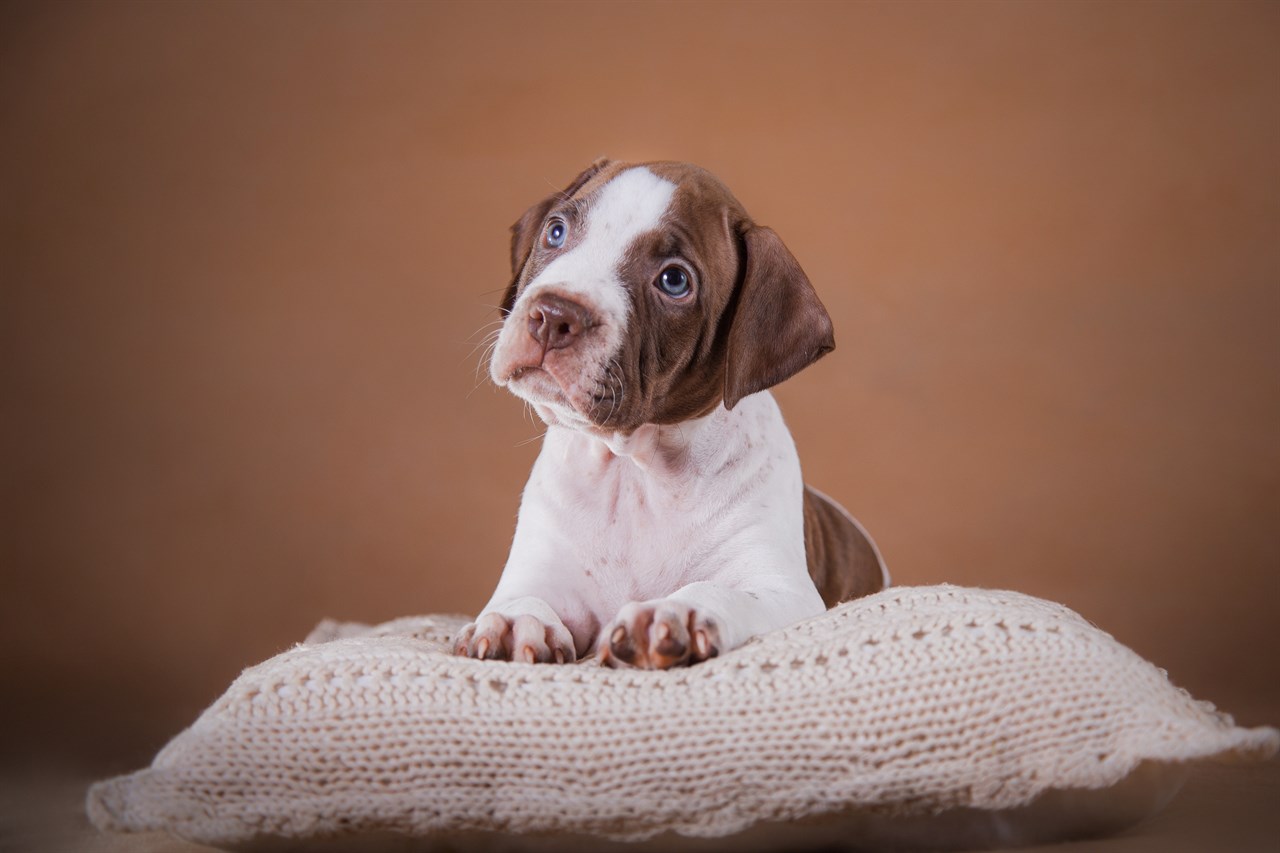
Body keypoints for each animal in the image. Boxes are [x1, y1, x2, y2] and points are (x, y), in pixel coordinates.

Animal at [455, 156, 885, 666]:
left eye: (674, 281)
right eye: (556, 232)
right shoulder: (539, 569)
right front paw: (517, 619)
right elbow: (522, 597)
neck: (634, 470)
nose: (553, 314)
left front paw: (673, 613)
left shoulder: (784, 591)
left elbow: (714, 590)